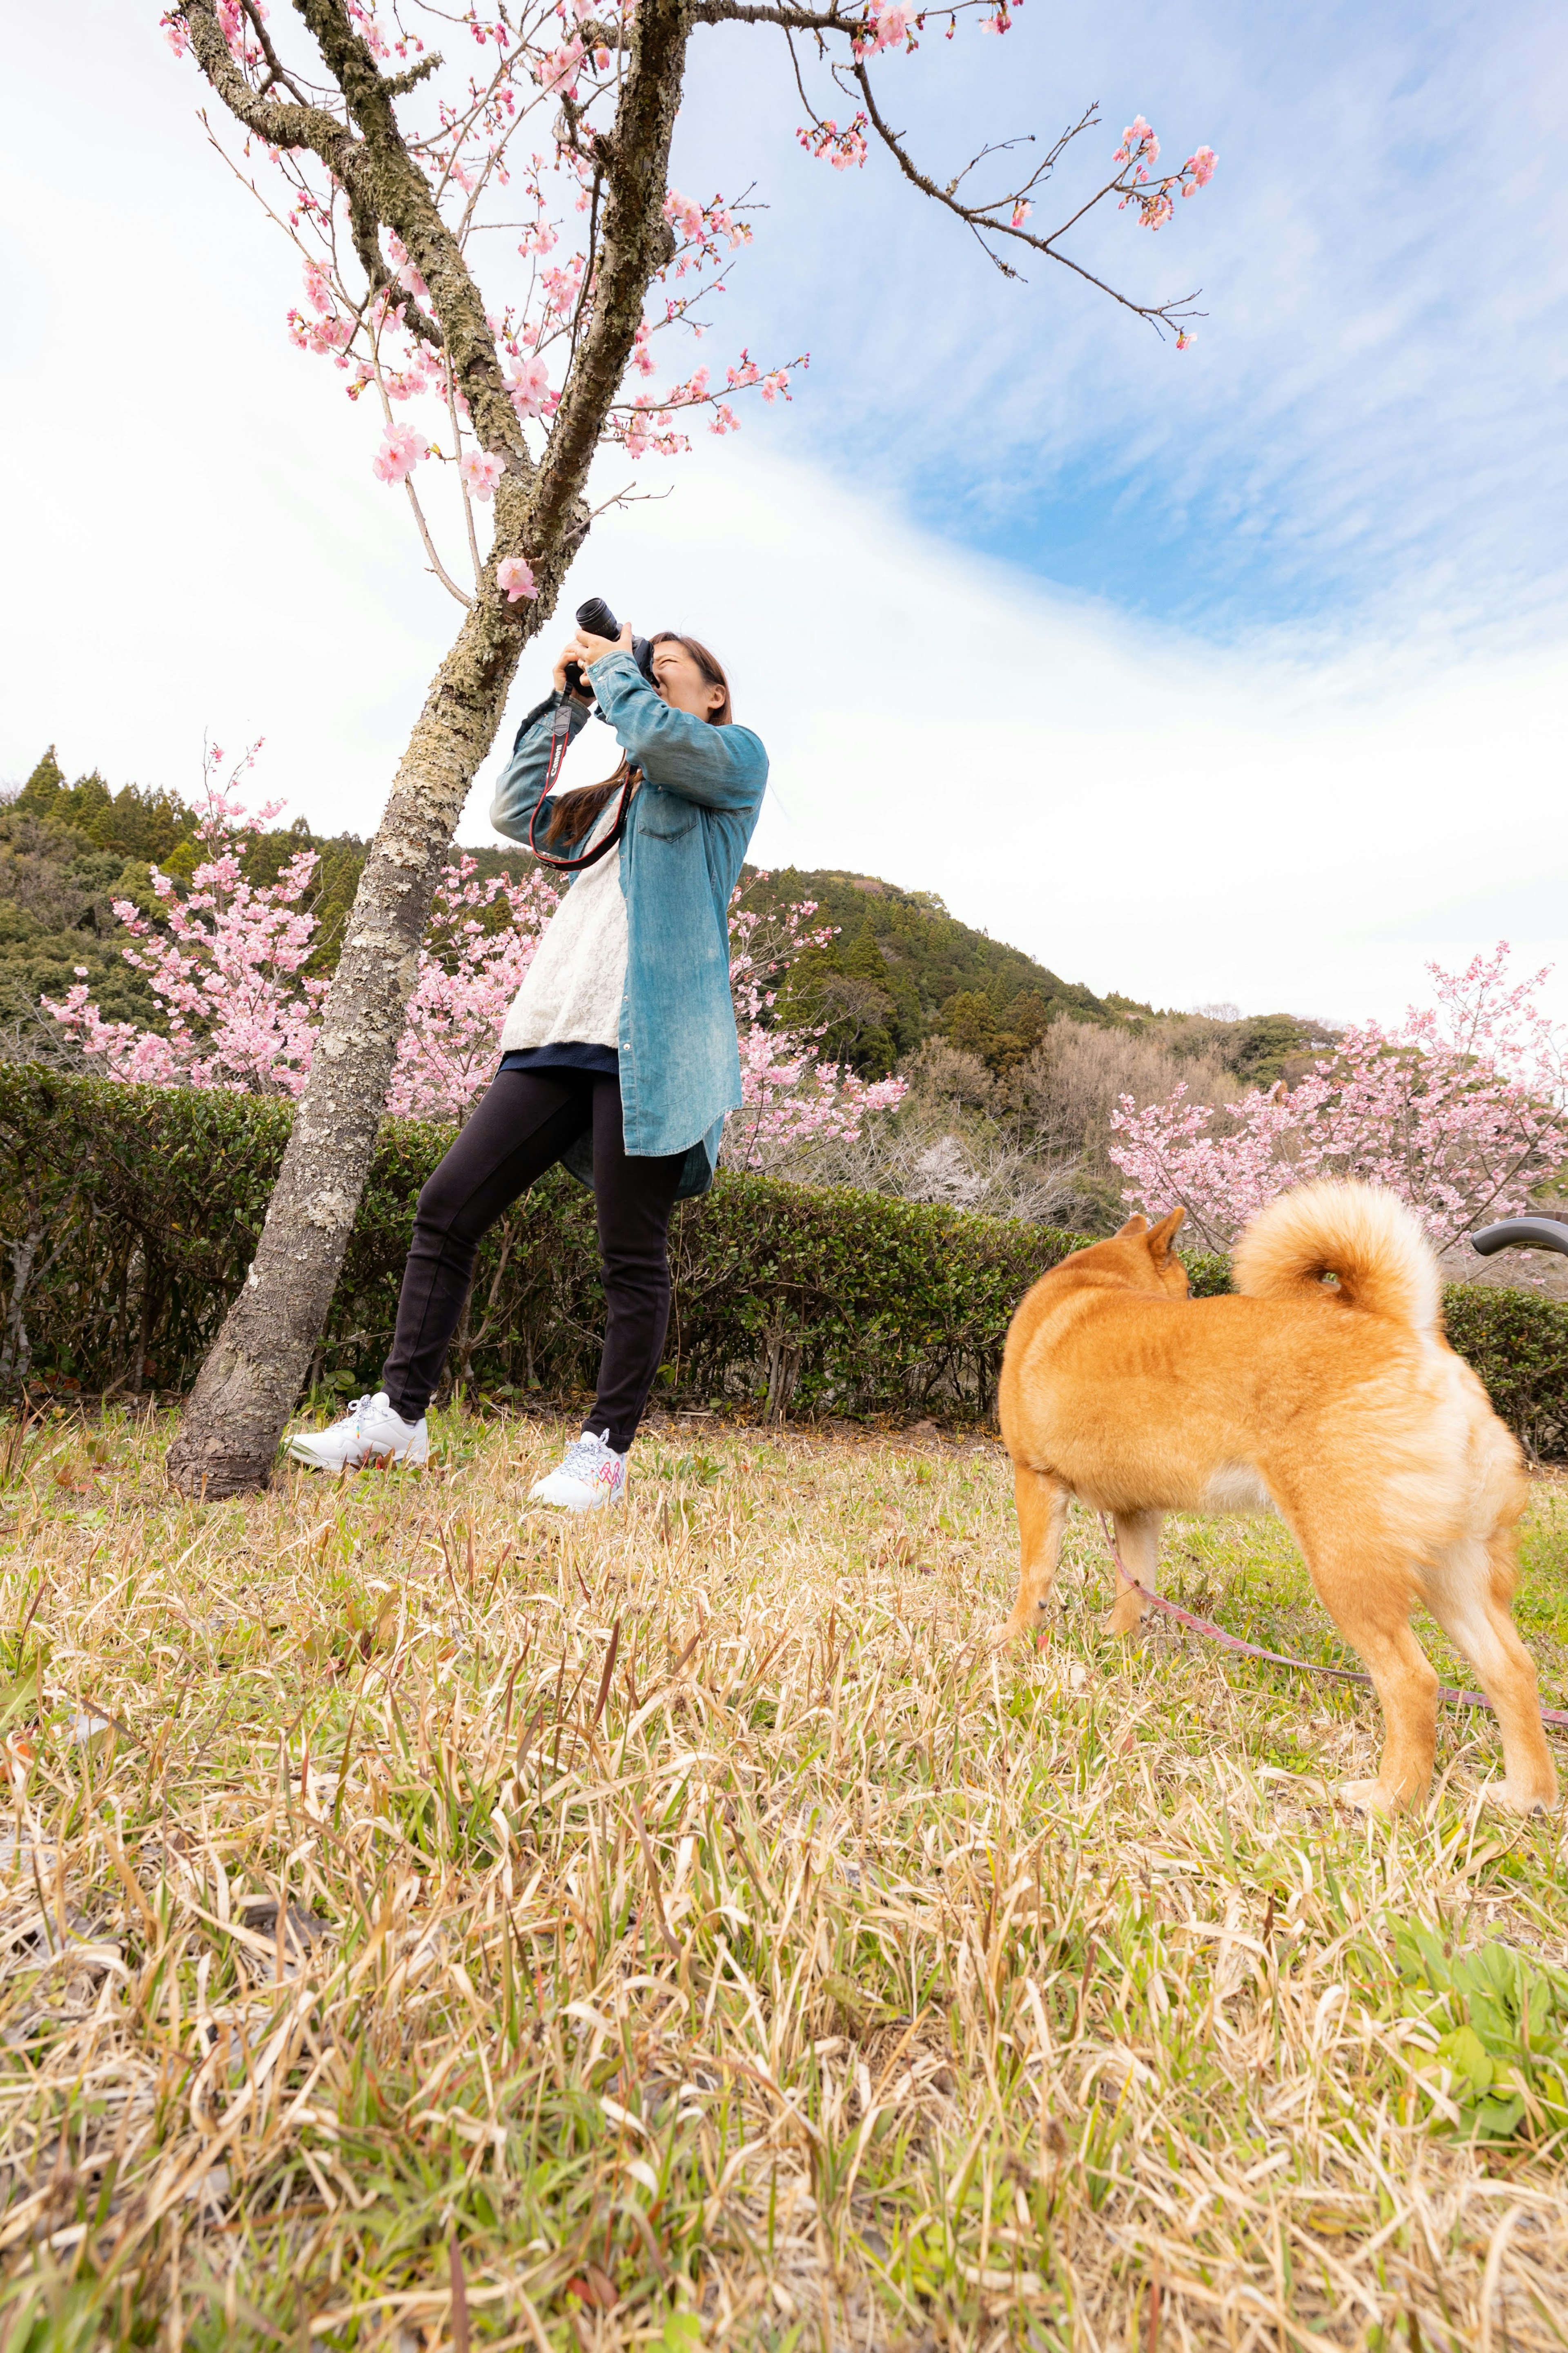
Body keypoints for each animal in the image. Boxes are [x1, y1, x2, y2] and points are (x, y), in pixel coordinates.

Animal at [1001, 1176, 1561, 1816]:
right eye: (1188, 1287)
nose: (1191, 1294)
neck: (1098, 1280)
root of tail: (1400, 1325)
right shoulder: (1137, 1511)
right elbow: (1134, 1589)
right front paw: (1116, 1645)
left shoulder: (1036, 1479)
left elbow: (1035, 1578)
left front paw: (1010, 1642)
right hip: (1454, 1571)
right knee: (1511, 1671)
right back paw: (1525, 1795)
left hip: (1348, 1568)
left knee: (1413, 1682)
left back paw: (1389, 1798)